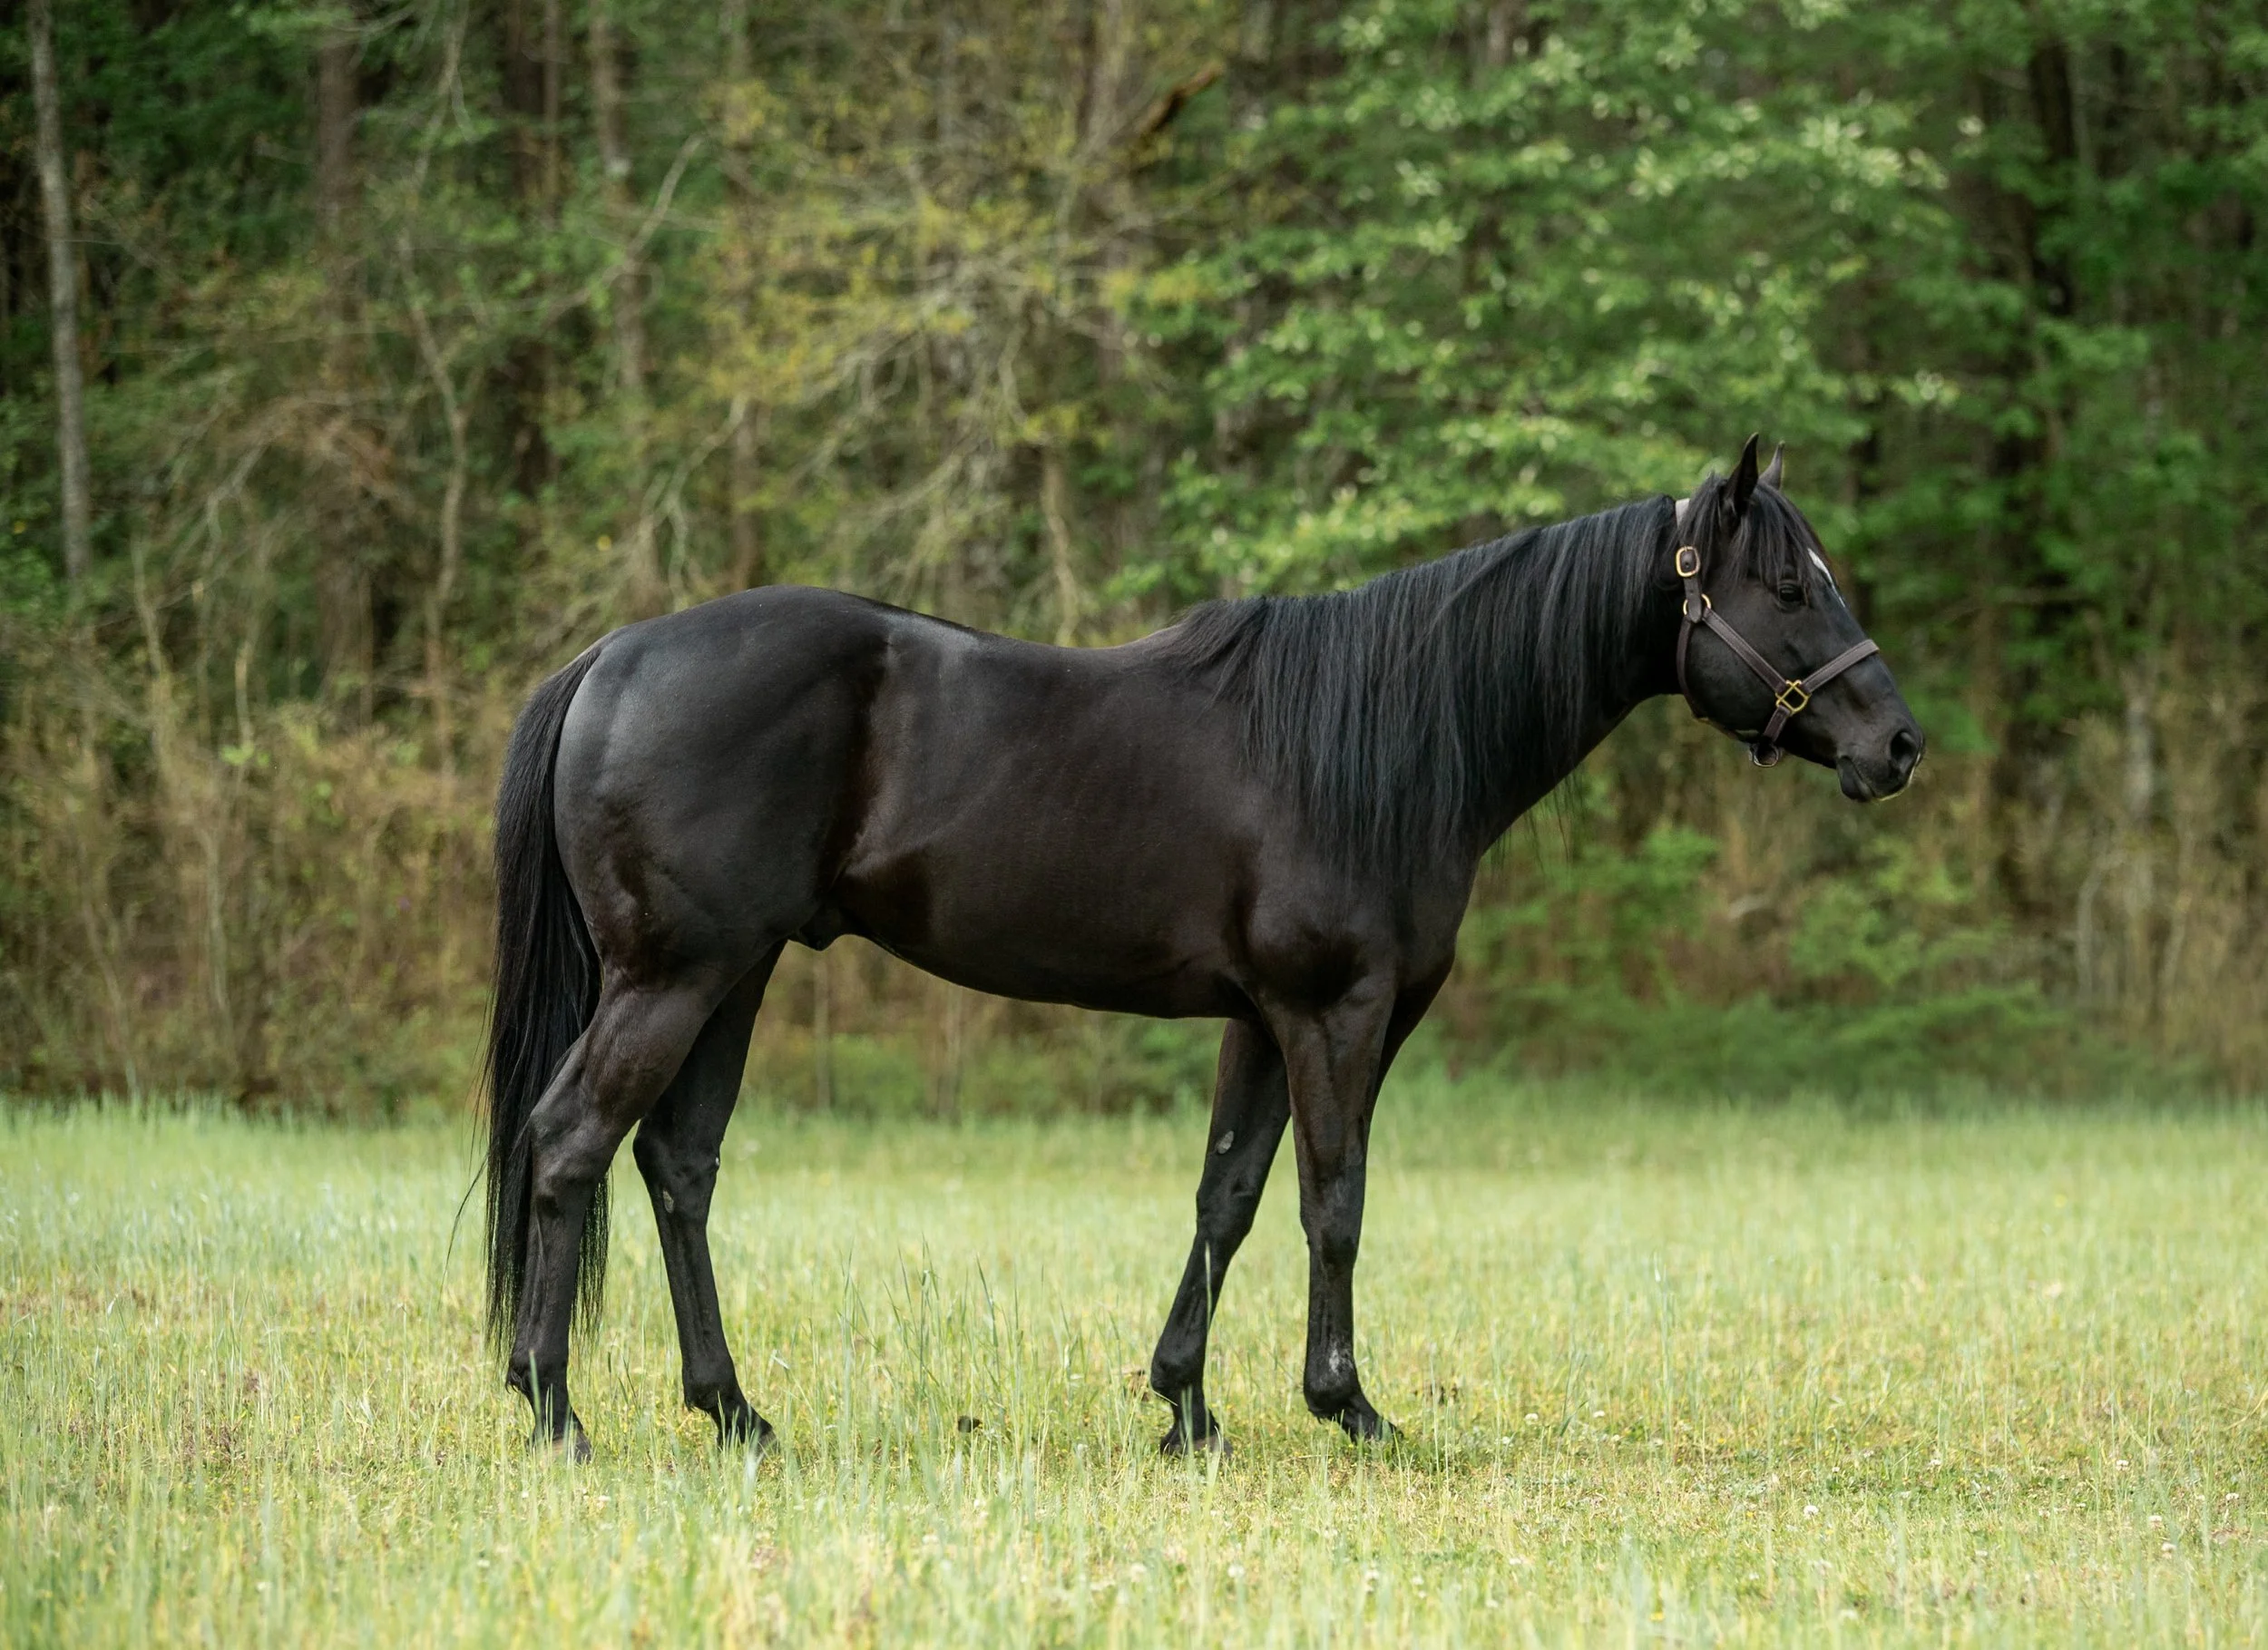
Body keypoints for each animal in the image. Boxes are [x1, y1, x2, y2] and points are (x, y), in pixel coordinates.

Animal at [482, 435, 1923, 1458]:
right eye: (1787, 585)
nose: (1897, 744)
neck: (1379, 741)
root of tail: (611, 655)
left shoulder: (1258, 1016)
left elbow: (1226, 1194)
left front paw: (1185, 1405)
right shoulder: (1339, 1010)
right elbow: (1333, 1199)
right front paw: (1348, 1404)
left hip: (736, 973)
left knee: (676, 1165)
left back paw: (732, 1410)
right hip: (675, 977)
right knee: (570, 1142)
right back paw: (555, 1409)